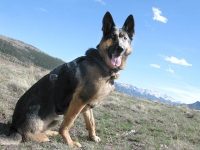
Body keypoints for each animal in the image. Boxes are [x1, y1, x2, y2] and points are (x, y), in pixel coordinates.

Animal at [0, 11, 134, 146]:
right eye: (112, 37)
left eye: (125, 38)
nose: (120, 49)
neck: (102, 63)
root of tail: (13, 127)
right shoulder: (78, 101)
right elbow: (67, 124)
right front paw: (70, 142)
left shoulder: (87, 105)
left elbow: (91, 123)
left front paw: (93, 137)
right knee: (27, 135)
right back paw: (43, 137)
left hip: (56, 118)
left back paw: (50, 133)